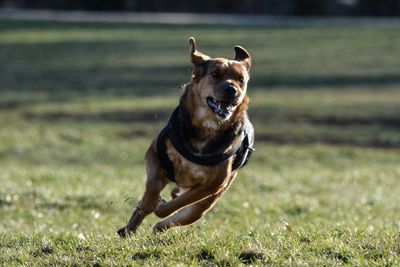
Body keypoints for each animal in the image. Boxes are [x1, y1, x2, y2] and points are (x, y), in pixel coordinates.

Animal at [117, 37, 255, 237]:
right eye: (215, 74)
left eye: (241, 79)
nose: (232, 89)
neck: (207, 128)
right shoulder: (154, 155)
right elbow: (151, 192)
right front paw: (148, 205)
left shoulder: (213, 185)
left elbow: (178, 204)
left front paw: (161, 207)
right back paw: (128, 229)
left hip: (211, 197)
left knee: (190, 213)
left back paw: (159, 225)